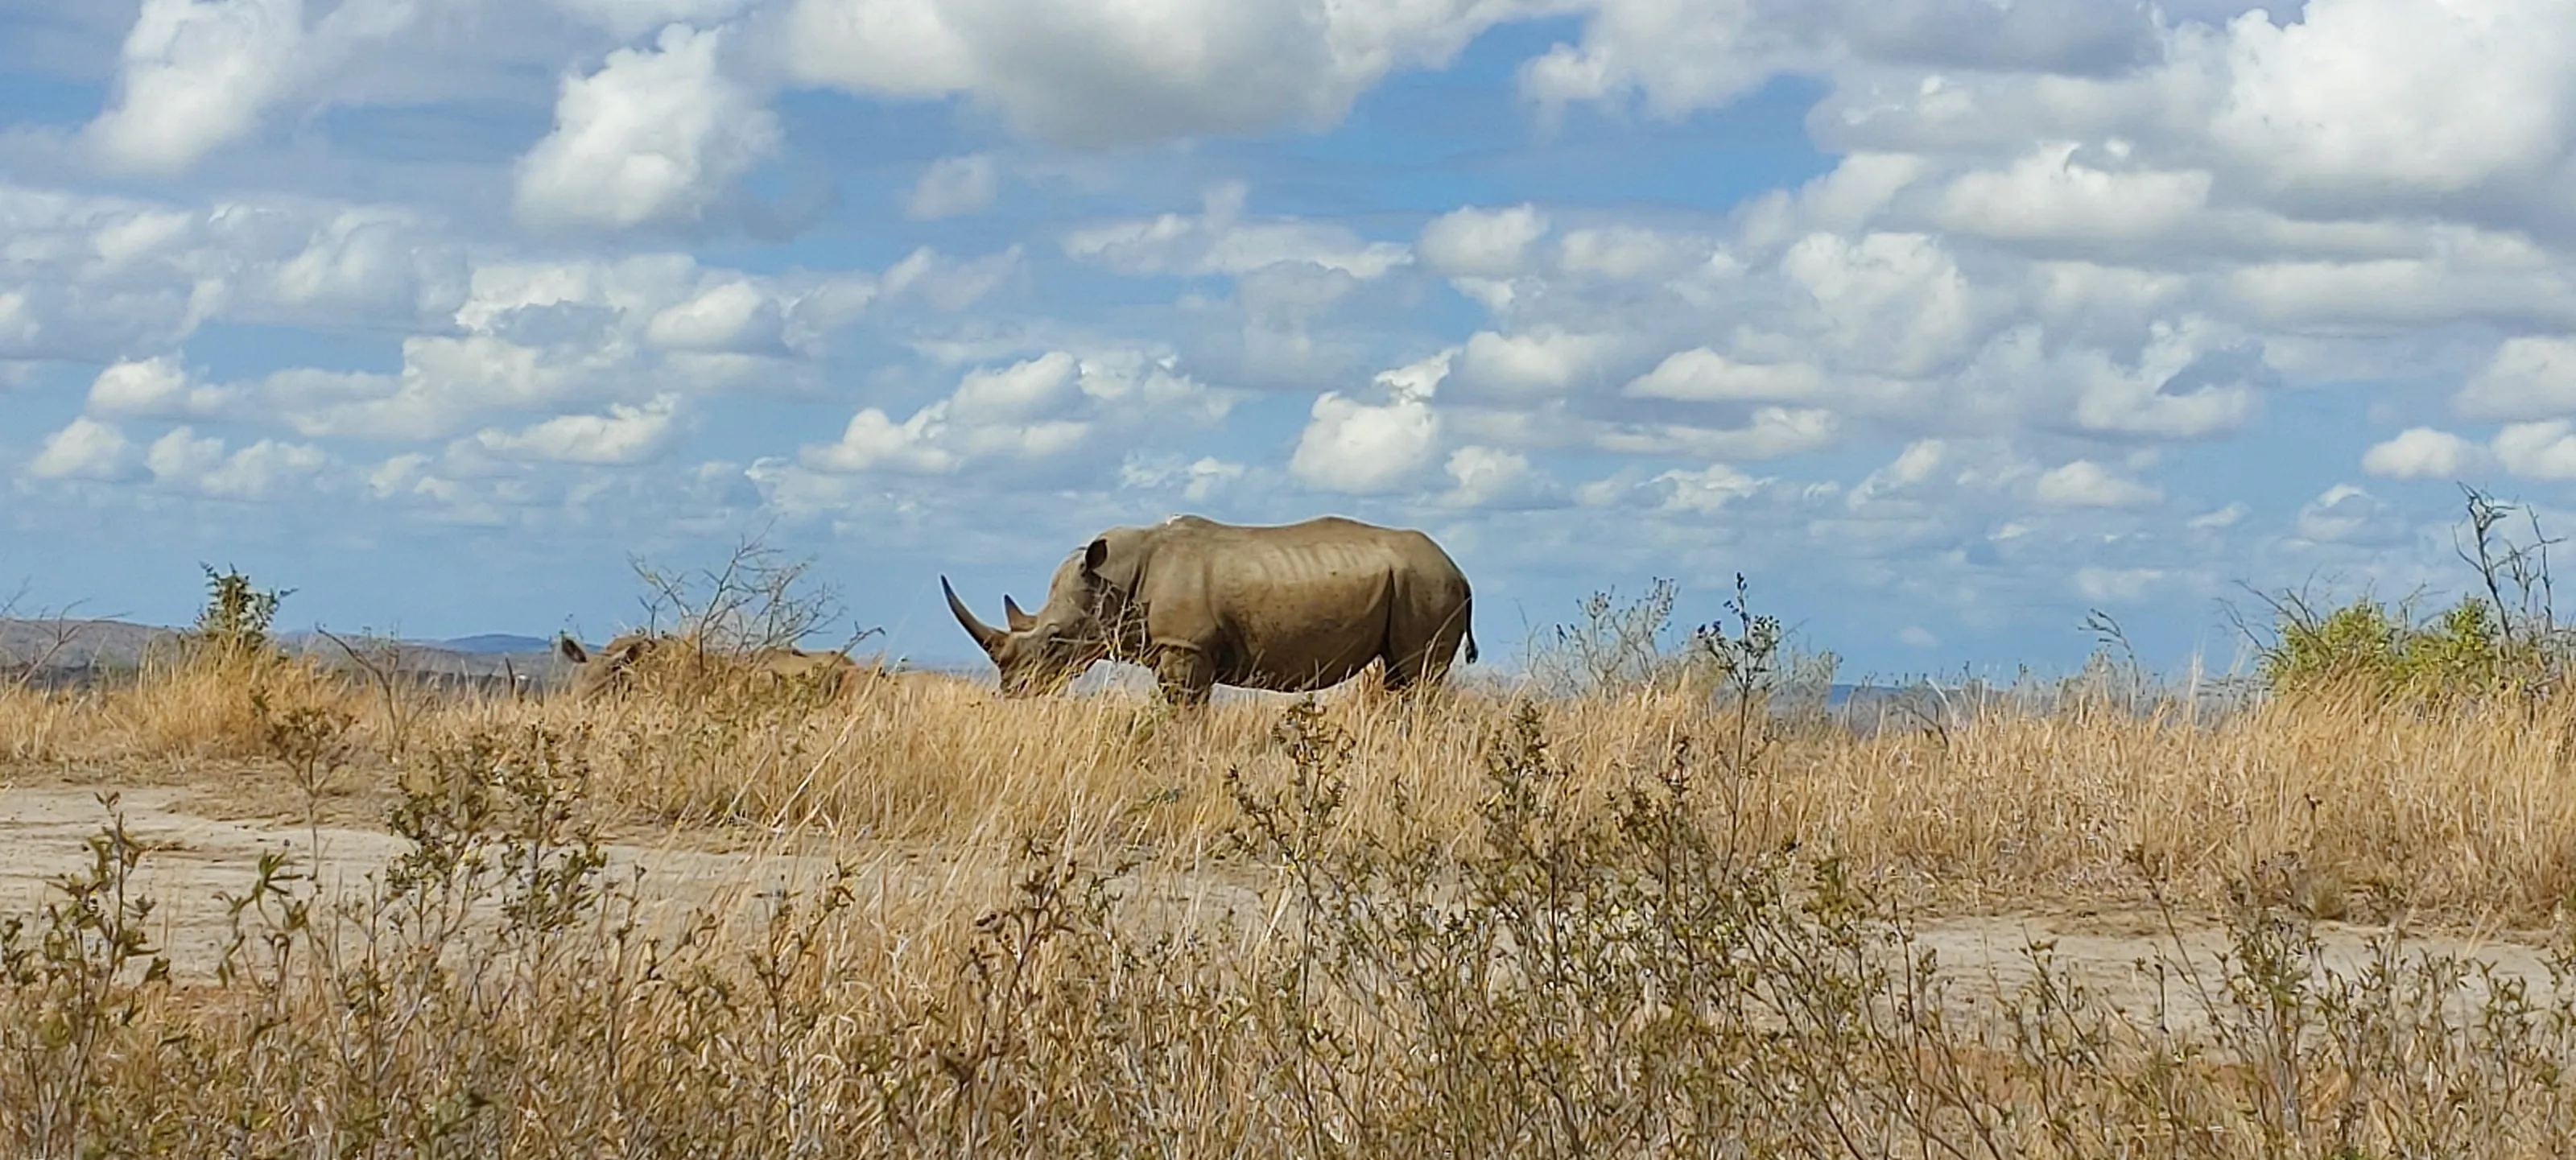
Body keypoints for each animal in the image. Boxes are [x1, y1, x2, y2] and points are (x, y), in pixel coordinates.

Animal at [941, 514, 1478, 704]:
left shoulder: (1187, 649)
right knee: (1399, 677)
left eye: (1055, 640)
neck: (1113, 578)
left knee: (1418, 674)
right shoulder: (1174, 650)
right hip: (1418, 582)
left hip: (1428, 583)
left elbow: (1183, 714)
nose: (1012, 693)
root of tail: (1460, 569)